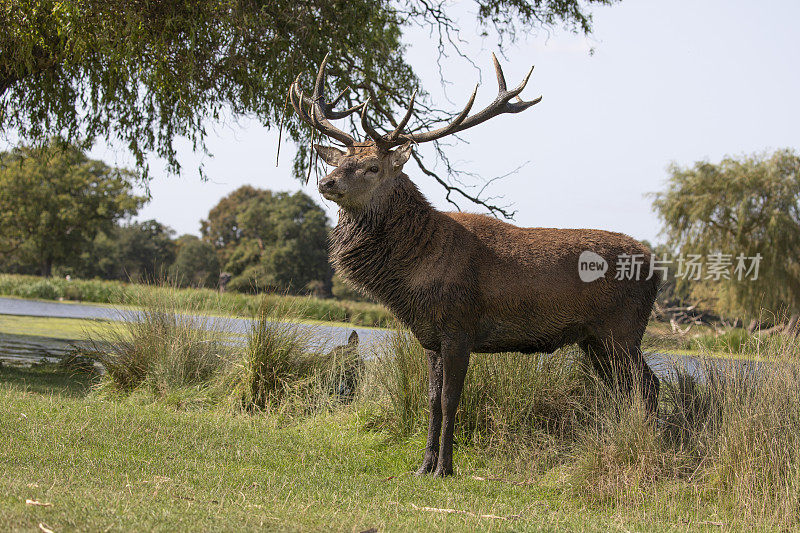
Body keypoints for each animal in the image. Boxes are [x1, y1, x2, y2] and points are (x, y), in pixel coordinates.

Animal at [290, 55, 660, 478]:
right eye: (342, 160)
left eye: (372, 167)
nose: (327, 182)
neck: (413, 275)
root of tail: (658, 269)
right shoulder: (429, 336)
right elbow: (431, 400)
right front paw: (423, 464)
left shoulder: (460, 326)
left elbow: (451, 399)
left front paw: (444, 468)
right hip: (594, 340)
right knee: (626, 390)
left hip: (623, 330)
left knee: (649, 386)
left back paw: (651, 449)